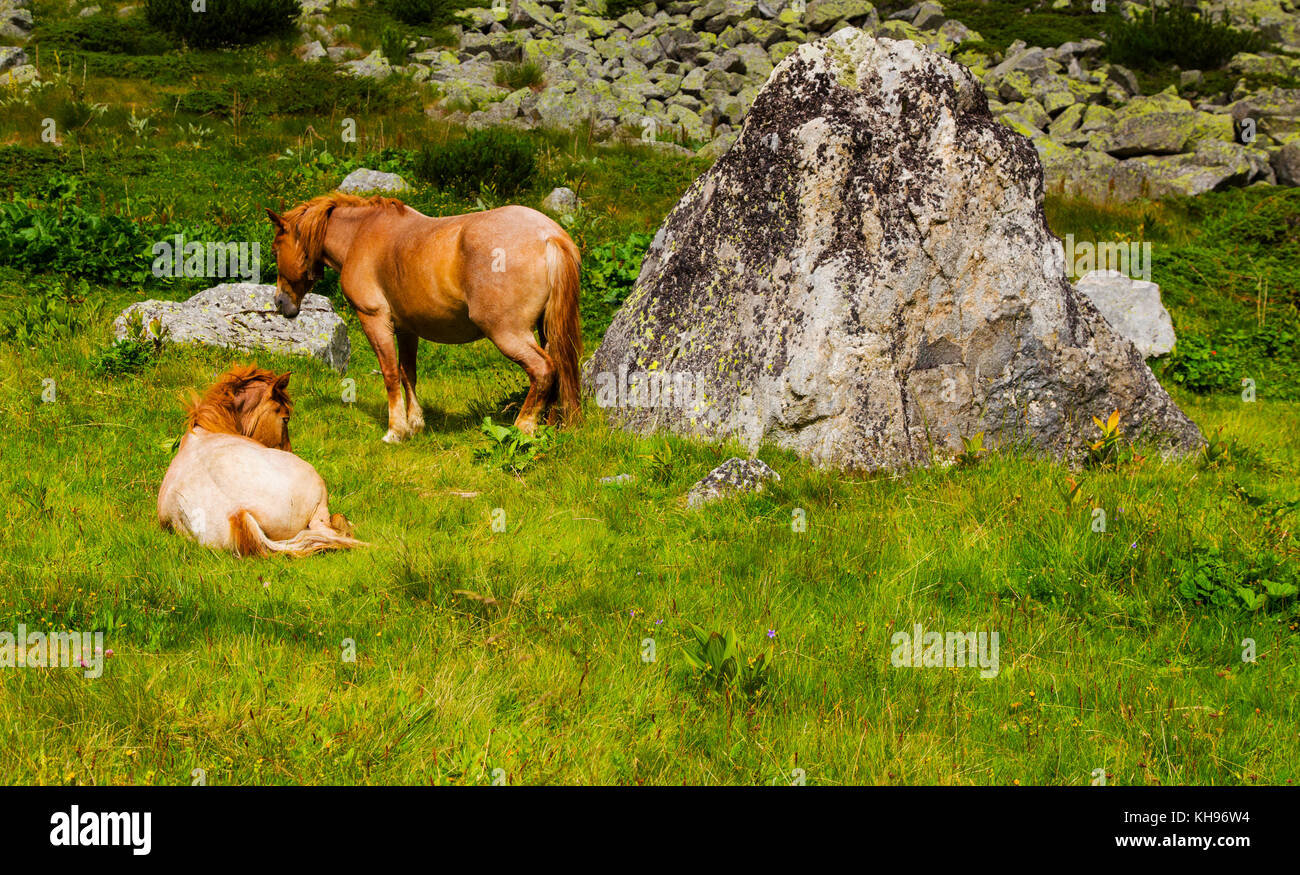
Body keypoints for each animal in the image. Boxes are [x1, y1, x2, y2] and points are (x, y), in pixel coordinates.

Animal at [264, 193, 582, 442]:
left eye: (275, 249)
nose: (280, 303)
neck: (361, 234)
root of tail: (548, 235)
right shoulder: (407, 329)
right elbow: (408, 373)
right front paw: (416, 423)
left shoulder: (374, 320)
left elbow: (390, 373)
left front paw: (396, 430)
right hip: (545, 330)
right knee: (559, 368)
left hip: (508, 333)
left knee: (543, 370)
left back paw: (522, 428)